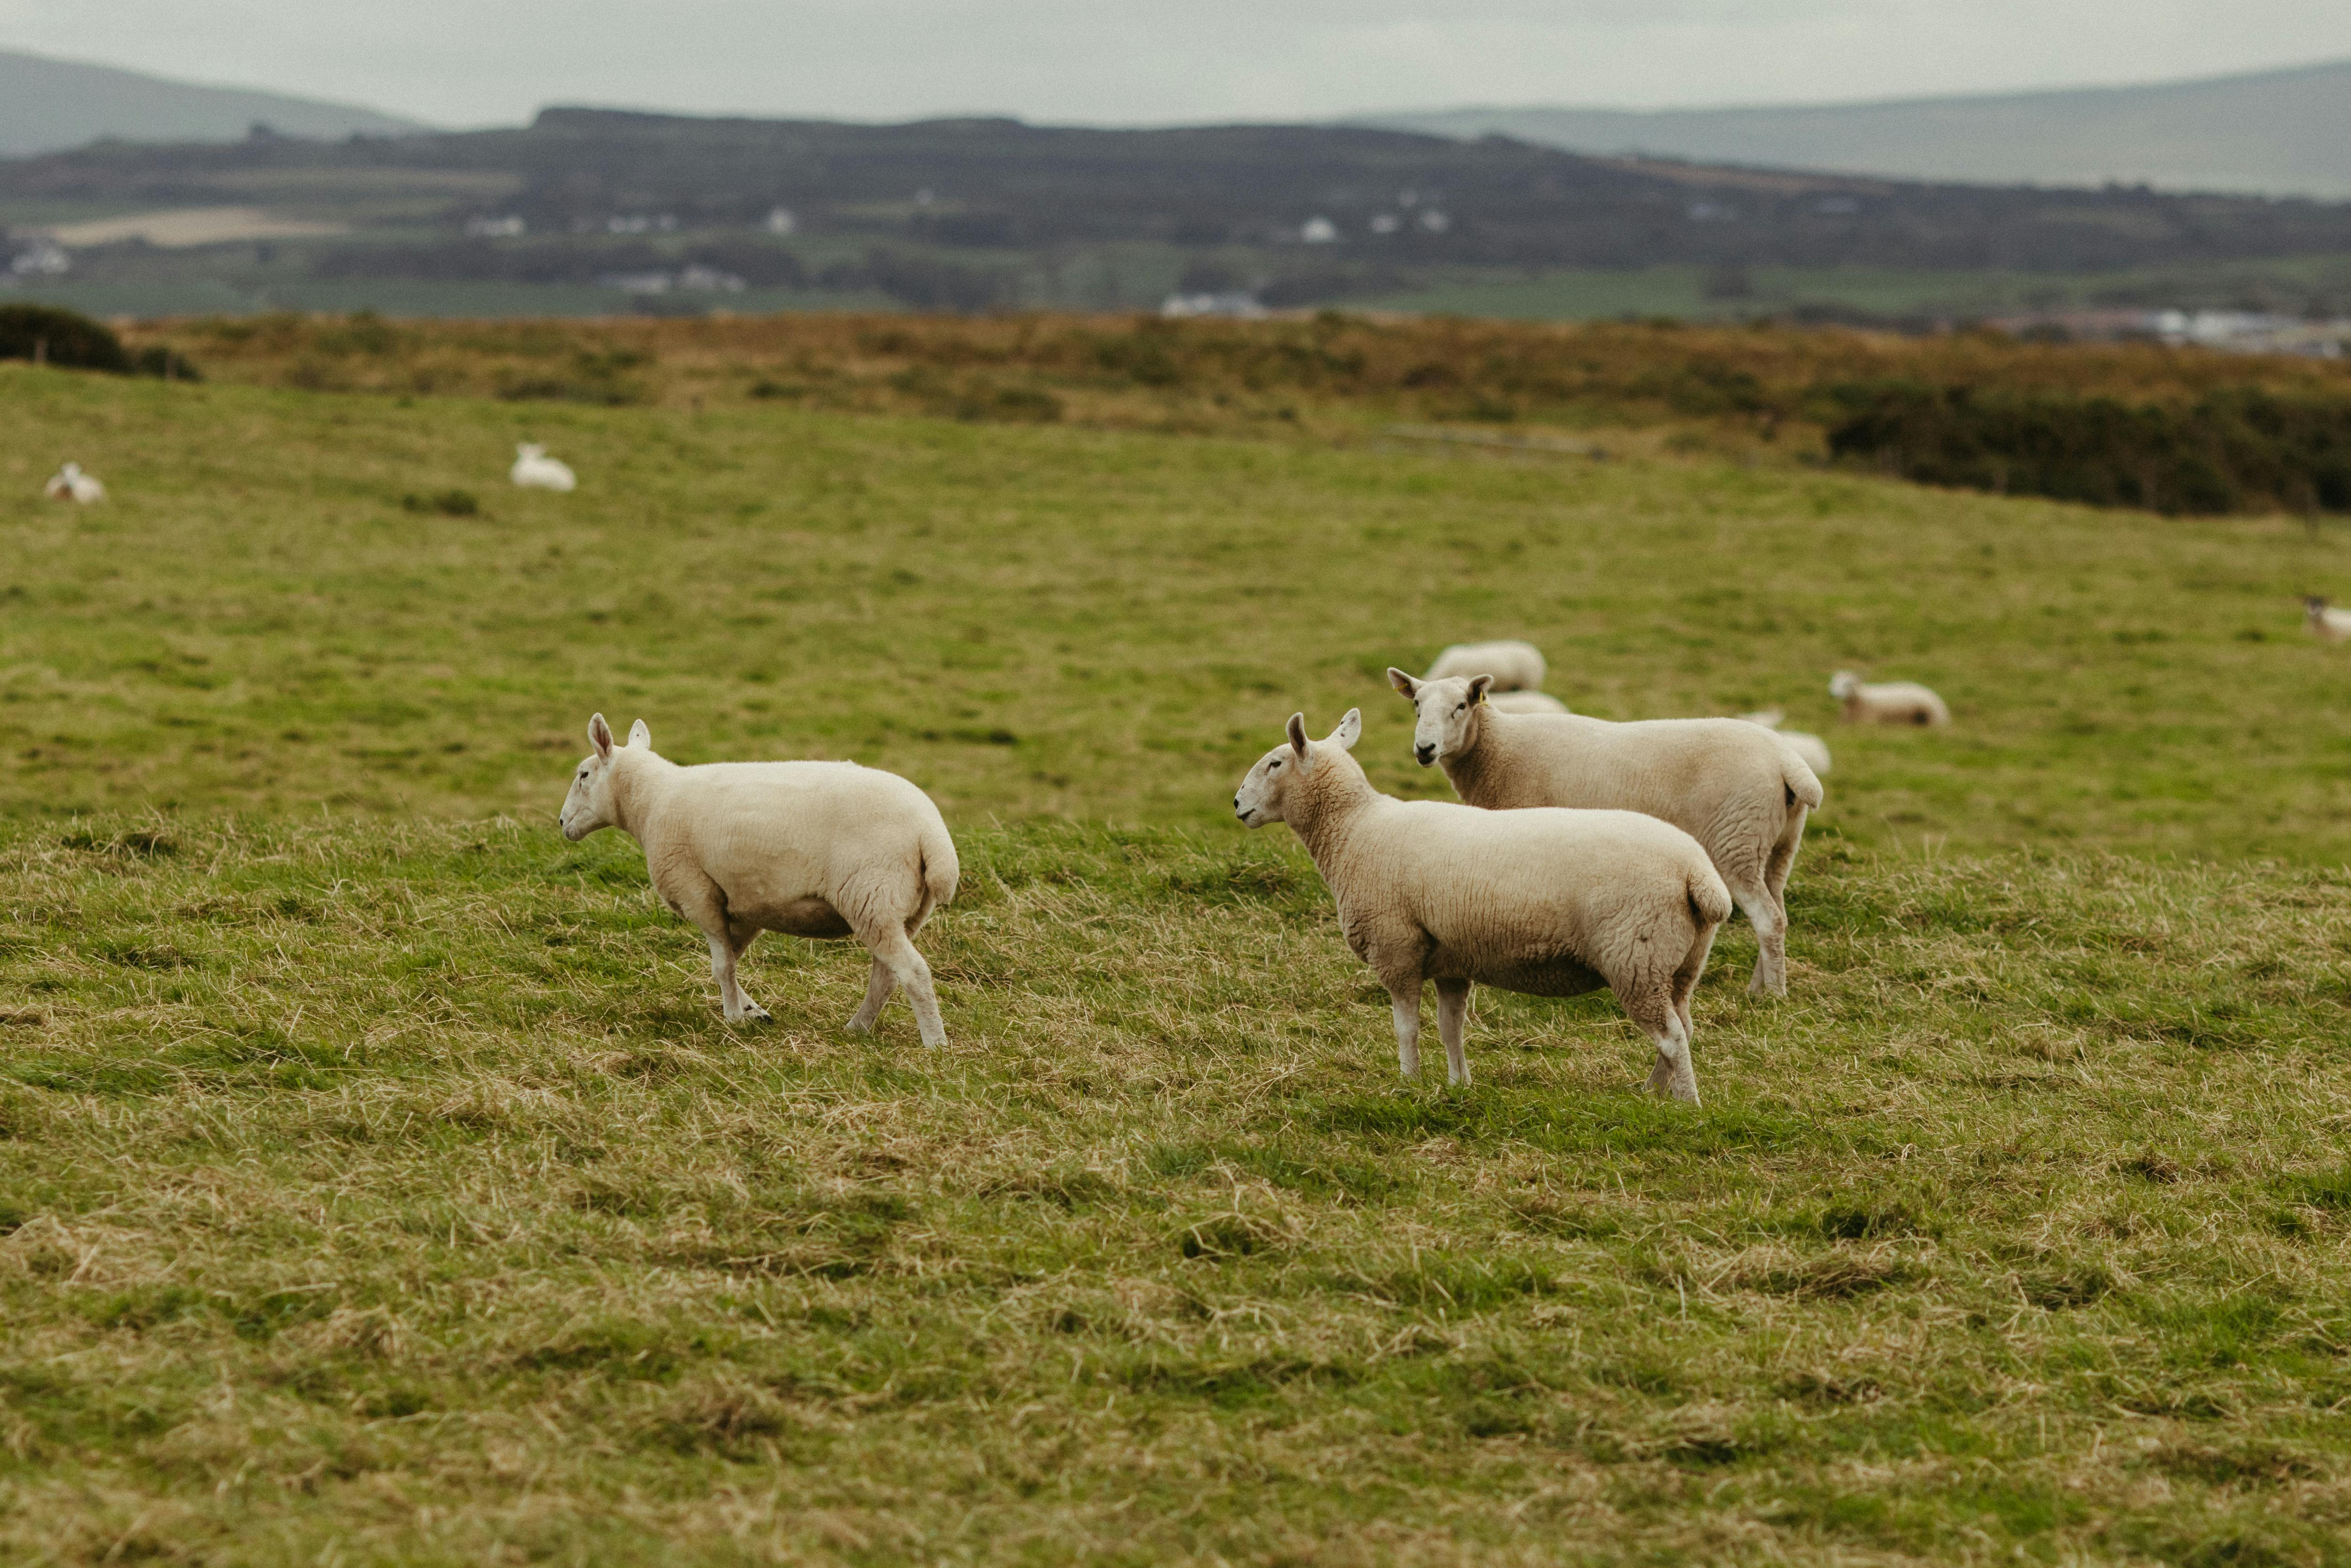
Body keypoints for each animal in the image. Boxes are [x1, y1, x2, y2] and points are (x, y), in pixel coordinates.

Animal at [558, 714, 958, 1043]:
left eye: (583, 775)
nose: (562, 823)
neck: (650, 802)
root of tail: (931, 832)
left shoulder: (698, 891)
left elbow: (722, 966)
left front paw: (734, 1018)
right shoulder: (745, 903)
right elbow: (730, 961)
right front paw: (753, 1011)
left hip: (871, 896)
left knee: (913, 973)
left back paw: (935, 1044)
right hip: (902, 909)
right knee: (886, 977)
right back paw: (856, 1029)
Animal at [1233, 708, 1730, 1099]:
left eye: (1275, 763)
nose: (1238, 805)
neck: (1354, 830)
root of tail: (1698, 875)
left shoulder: (1396, 947)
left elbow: (1406, 1028)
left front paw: (1407, 1084)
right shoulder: (1451, 958)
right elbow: (1450, 1027)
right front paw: (1459, 1085)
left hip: (1635, 957)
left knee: (1671, 1037)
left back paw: (1686, 1105)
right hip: (1678, 964)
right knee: (1682, 1028)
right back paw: (1651, 1094)